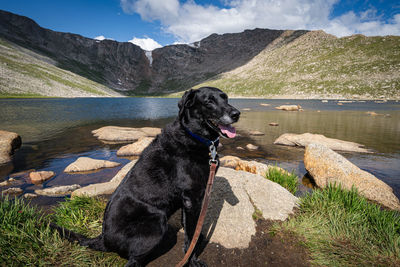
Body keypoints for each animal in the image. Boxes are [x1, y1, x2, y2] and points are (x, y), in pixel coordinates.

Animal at [53, 87, 241, 266]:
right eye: (209, 101)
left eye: (226, 98)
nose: (236, 114)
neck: (194, 136)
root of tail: (103, 240)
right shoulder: (191, 197)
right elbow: (190, 234)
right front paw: (192, 259)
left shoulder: (187, 200)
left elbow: (189, 227)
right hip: (156, 221)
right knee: (133, 260)